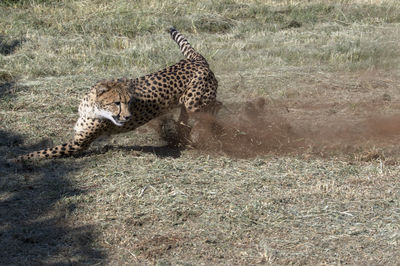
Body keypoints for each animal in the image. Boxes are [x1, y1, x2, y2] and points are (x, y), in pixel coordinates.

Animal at [9, 28, 220, 162]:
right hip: (188, 105)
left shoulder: (78, 143)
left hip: (194, 103)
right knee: (191, 117)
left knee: (214, 107)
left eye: (129, 102)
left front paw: (18, 158)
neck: (92, 106)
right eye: (117, 103)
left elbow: (46, 151)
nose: (127, 117)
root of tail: (196, 60)